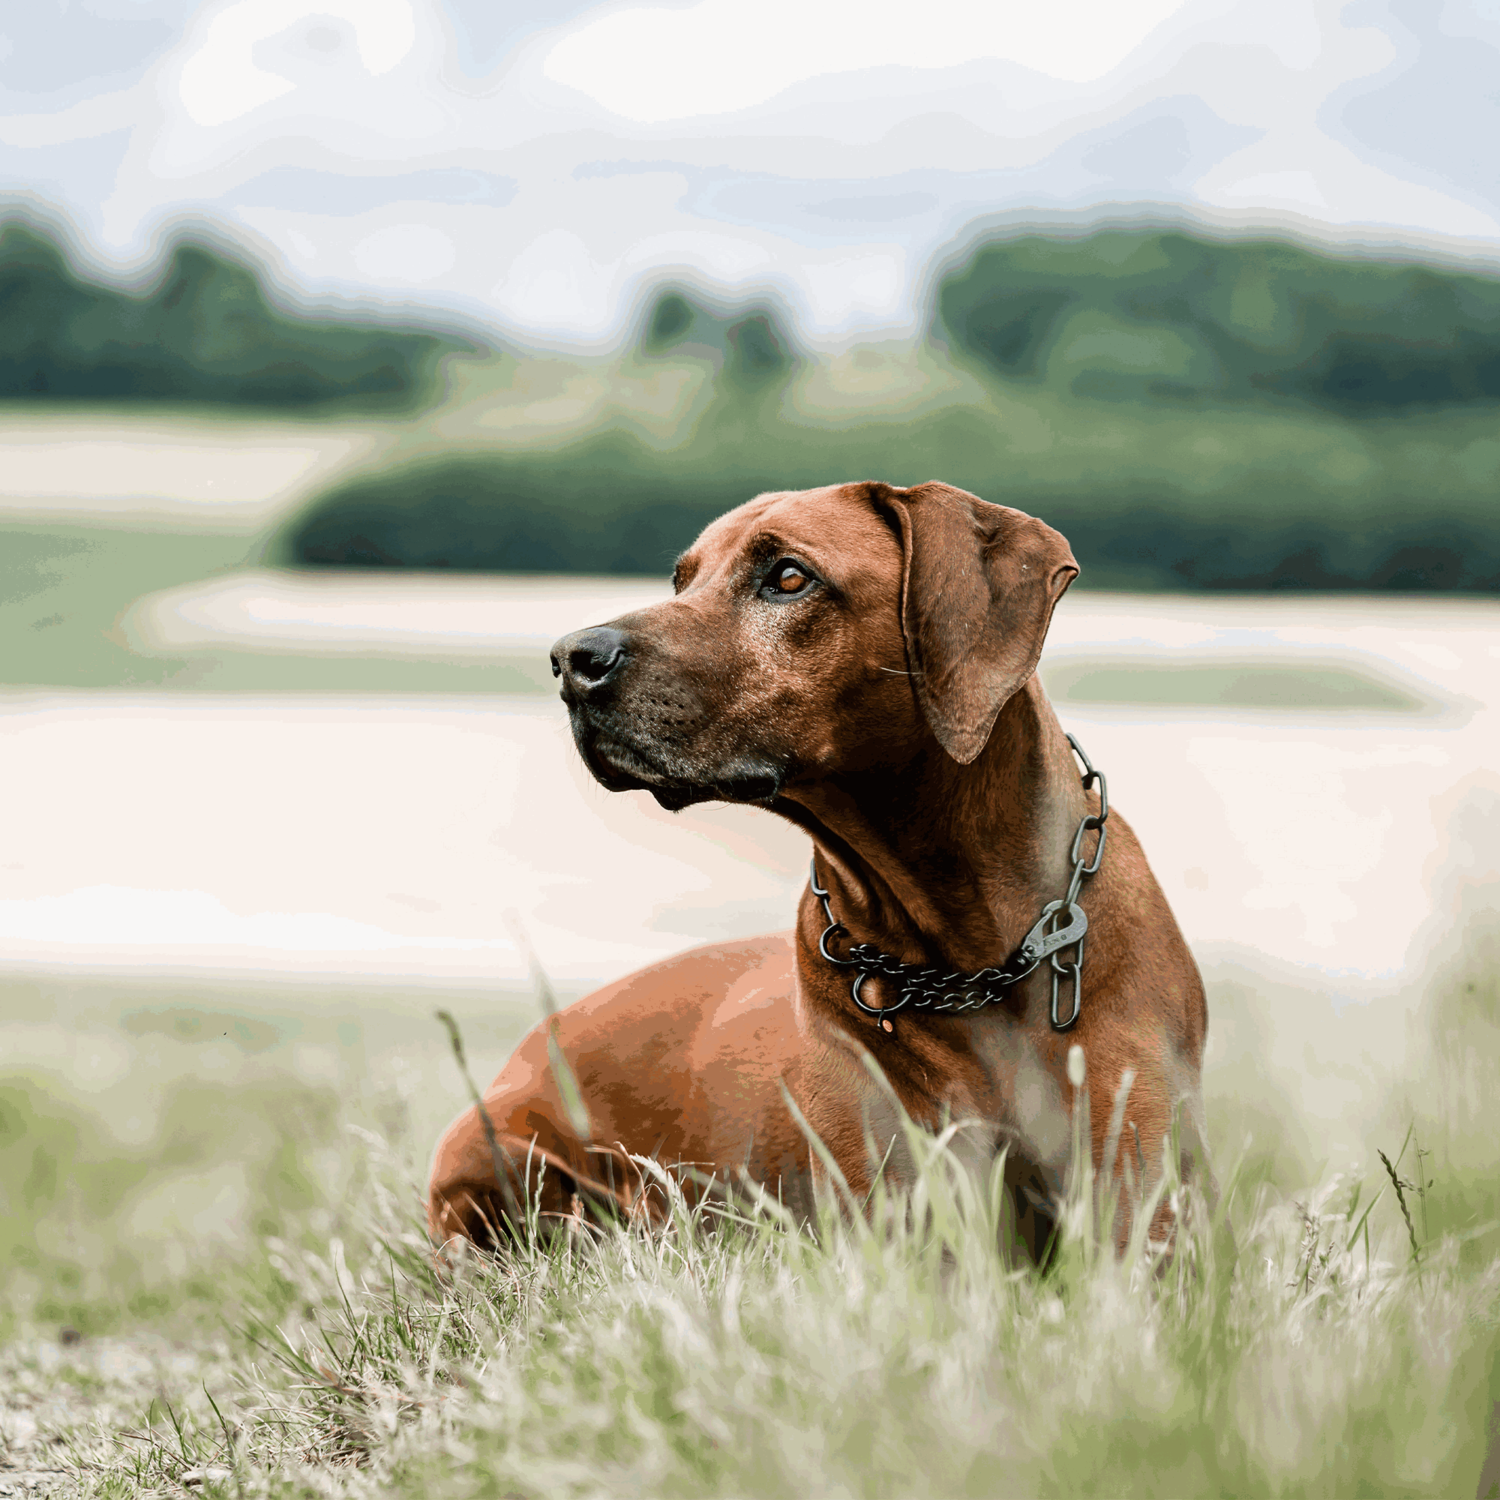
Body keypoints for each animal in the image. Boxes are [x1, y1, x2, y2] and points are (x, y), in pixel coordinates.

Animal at [423, 483, 1206, 1254]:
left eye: (790, 577)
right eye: (684, 580)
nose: (569, 659)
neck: (971, 960)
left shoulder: (1138, 1205)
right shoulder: (900, 1220)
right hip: (498, 1159)